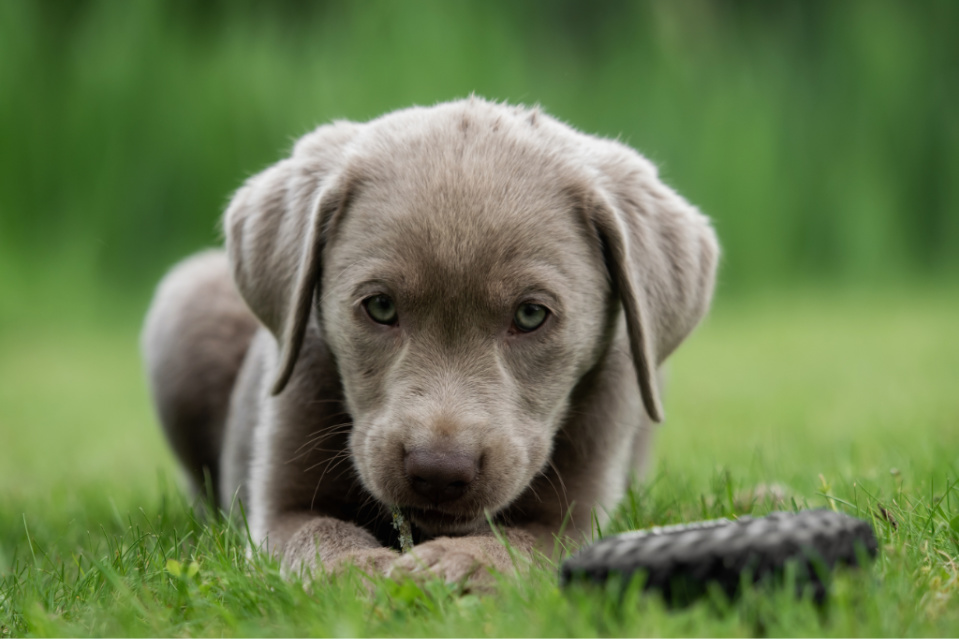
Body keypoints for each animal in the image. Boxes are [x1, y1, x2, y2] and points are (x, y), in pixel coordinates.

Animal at [139, 99, 716, 584]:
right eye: (380, 307)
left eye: (531, 314)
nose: (439, 472)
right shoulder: (282, 501)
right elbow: (315, 534)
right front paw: (360, 574)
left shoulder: (576, 513)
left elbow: (525, 543)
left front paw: (454, 565)